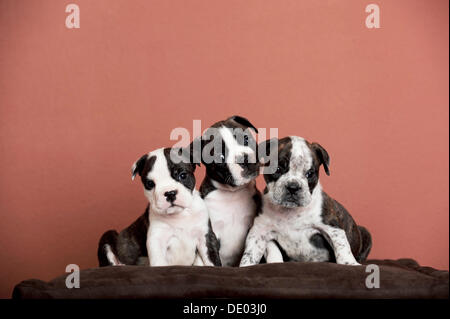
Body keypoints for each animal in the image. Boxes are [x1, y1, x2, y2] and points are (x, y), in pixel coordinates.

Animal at [192, 115, 262, 268]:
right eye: (220, 157)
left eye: (246, 139)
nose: (243, 158)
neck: (232, 193)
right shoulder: (211, 235)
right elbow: (213, 260)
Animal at [239, 137, 372, 268]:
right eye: (277, 169)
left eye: (310, 174)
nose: (293, 187)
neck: (289, 212)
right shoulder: (259, 231)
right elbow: (251, 253)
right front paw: (246, 265)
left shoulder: (332, 228)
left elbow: (342, 247)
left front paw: (350, 263)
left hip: (365, 233)